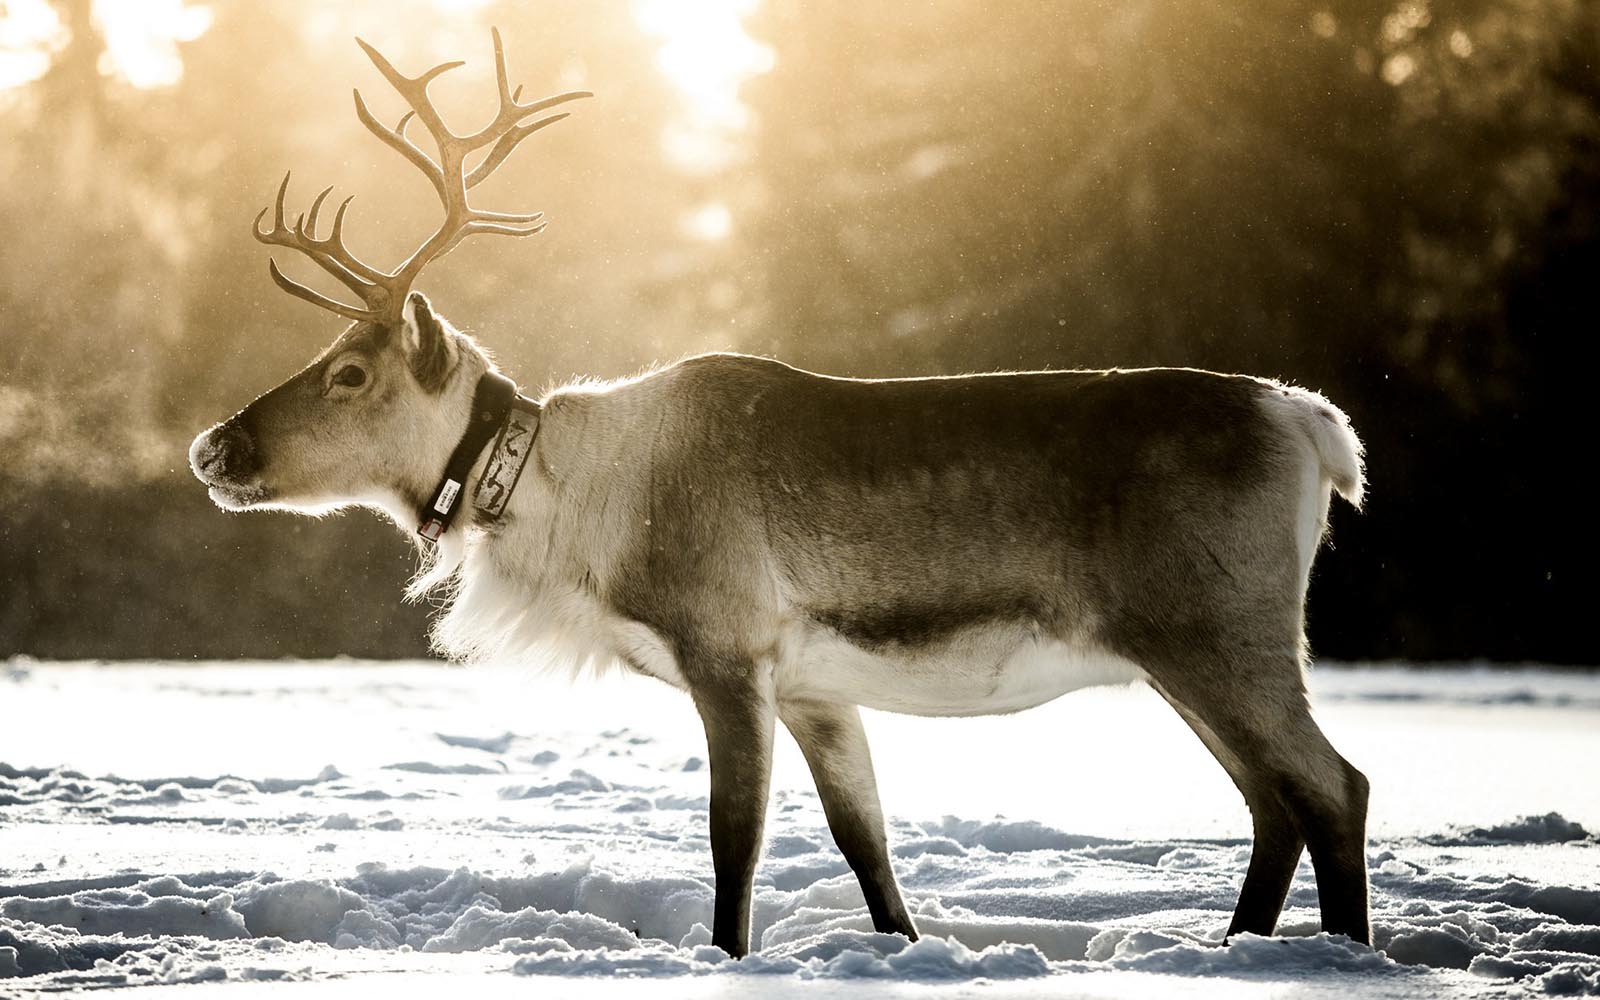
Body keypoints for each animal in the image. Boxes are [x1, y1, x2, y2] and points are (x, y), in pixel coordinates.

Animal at [189, 30, 1371, 959]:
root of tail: (1315, 427)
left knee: (1331, 787)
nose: (211, 444)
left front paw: (729, 956)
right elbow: (867, 847)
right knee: (1272, 802)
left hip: (1221, 627)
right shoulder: (816, 685)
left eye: (350, 371)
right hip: (1184, 646)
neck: (583, 516)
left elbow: (735, 841)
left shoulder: (727, 648)